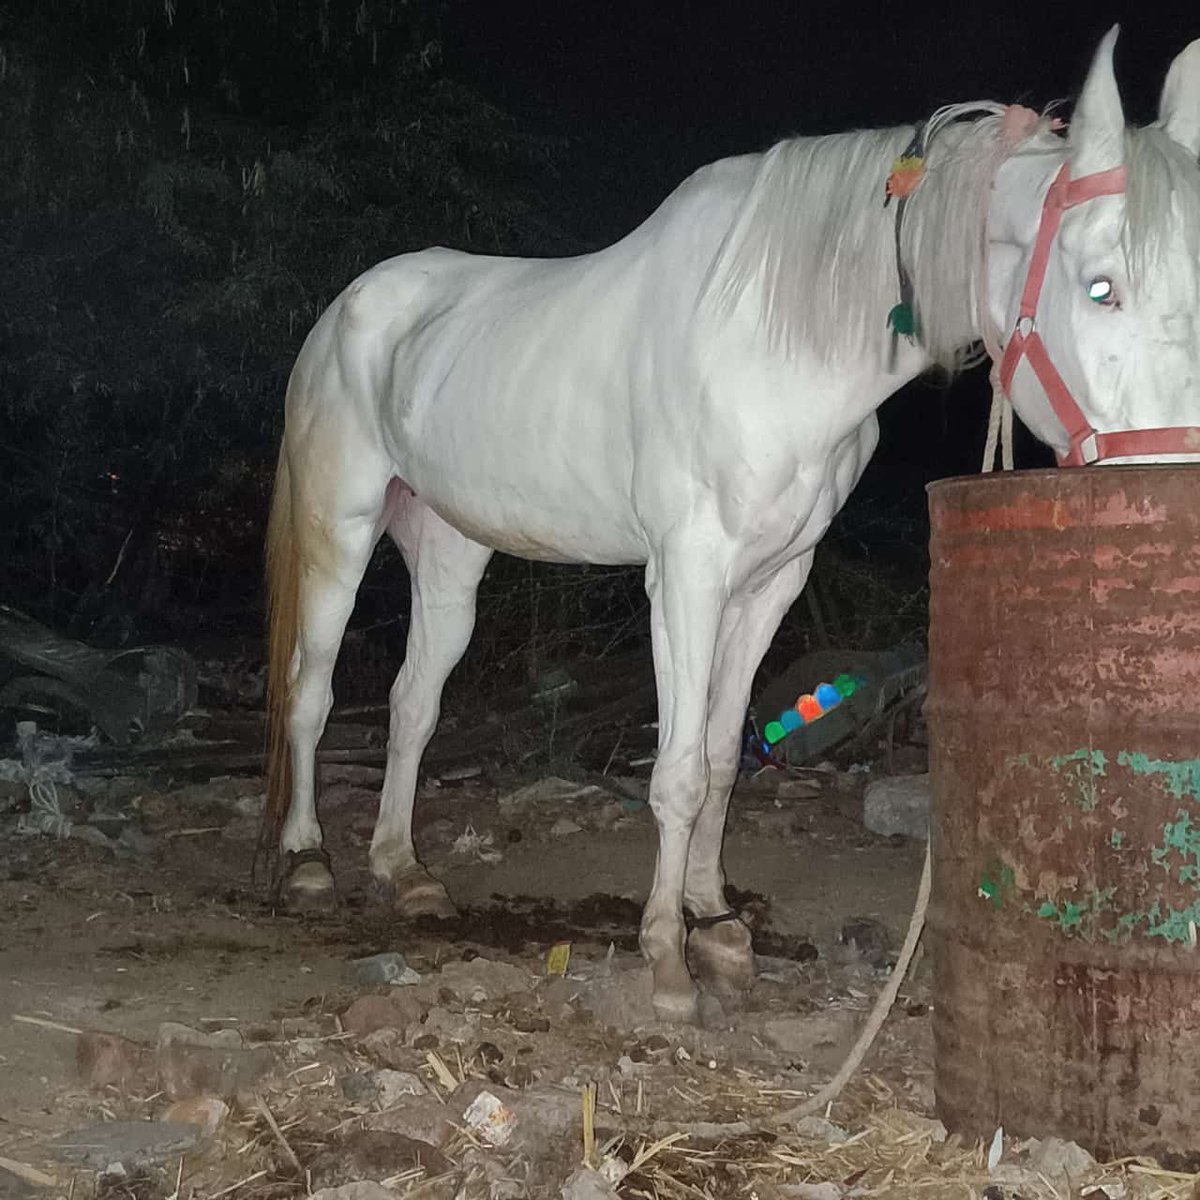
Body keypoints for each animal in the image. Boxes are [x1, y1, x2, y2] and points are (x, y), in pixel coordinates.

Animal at [261, 27, 1200, 1023]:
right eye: (1101, 288)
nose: (1167, 485)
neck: (777, 340)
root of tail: (347, 308)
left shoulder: (772, 581)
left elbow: (717, 758)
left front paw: (713, 922)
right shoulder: (686, 576)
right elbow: (674, 771)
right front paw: (665, 958)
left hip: (450, 550)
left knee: (412, 703)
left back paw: (404, 871)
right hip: (341, 530)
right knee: (312, 691)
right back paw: (309, 860)